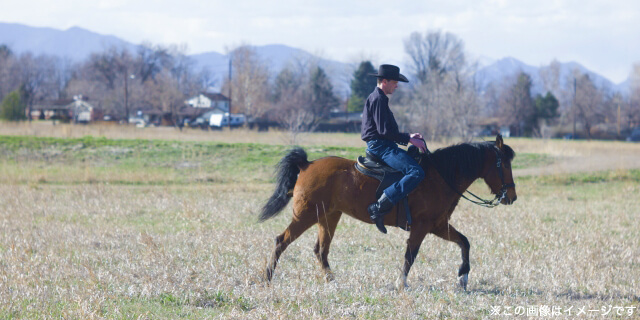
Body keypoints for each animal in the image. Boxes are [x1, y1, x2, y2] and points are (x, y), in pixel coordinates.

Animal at [258, 134, 516, 288]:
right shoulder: (422, 227)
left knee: (321, 250)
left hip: (328, 216)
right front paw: (401, 283)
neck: (441, 176)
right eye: (504, 164)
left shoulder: (438, 225)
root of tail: (307, 164)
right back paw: (267, 278)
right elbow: (410, 255)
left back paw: (332, 280)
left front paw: (463, 277)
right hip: (306, 215)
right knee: (281, 240)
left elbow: (465, 242)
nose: (511, 197)